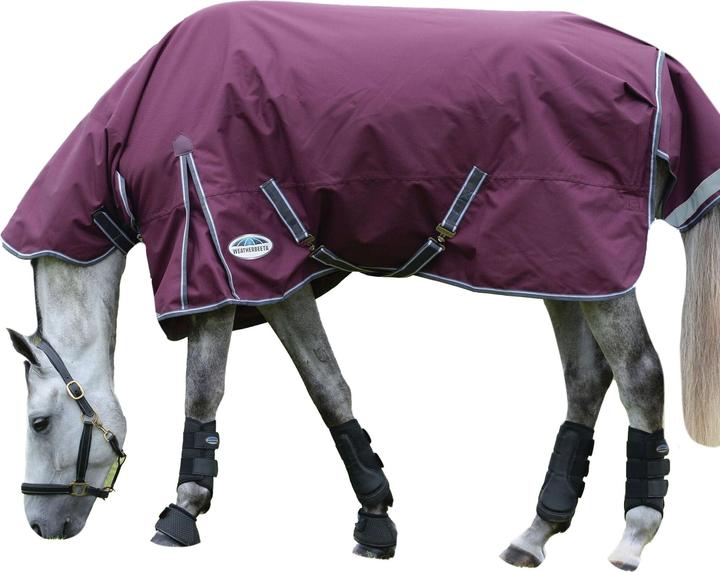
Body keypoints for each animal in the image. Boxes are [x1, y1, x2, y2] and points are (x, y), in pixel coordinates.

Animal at [3, 3, 720, 571]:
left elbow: (204, 389)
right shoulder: (275, 281)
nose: (40, 526)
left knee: (640, 374)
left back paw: (635, 532)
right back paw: (537, 531)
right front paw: (376, 519)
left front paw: (181, 511)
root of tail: (659, 70)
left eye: (38, 421)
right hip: (564, 266)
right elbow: (328, 385)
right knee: (585, 378)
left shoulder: (218, 262)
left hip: (596, 268)